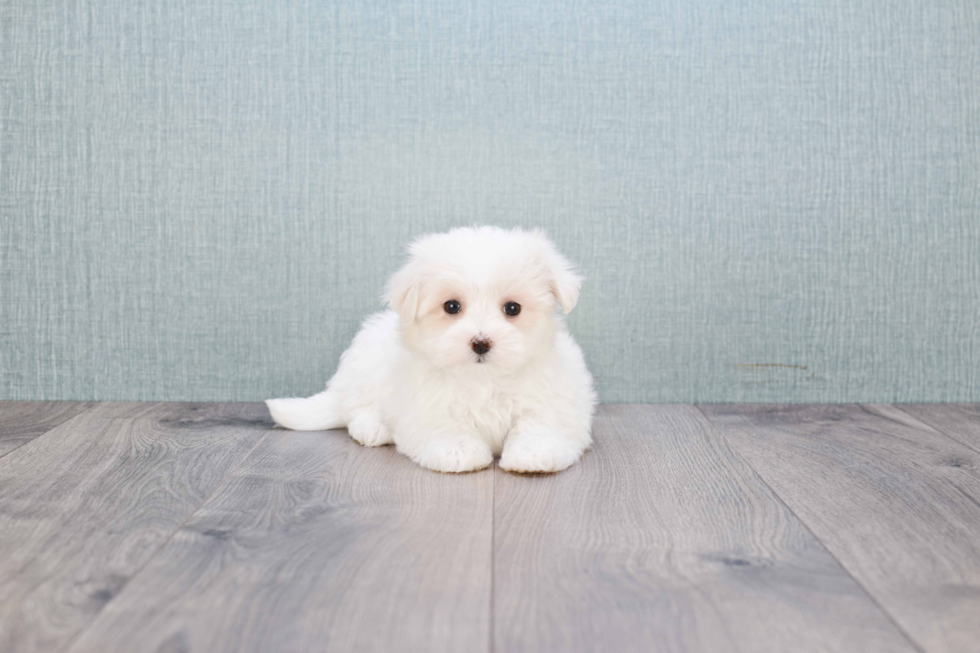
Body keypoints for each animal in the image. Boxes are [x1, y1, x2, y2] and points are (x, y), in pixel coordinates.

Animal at [264, 227, 592, 472]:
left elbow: (540, 425)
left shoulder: (552, 399)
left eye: (513, 308)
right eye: (451, 306)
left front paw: (534, 454)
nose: (480, 342)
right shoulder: (426, 405)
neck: (484, 378)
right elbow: (445, 427)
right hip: (365, 369)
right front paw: (458, 452)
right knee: (356, 409)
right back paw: (374, 428)